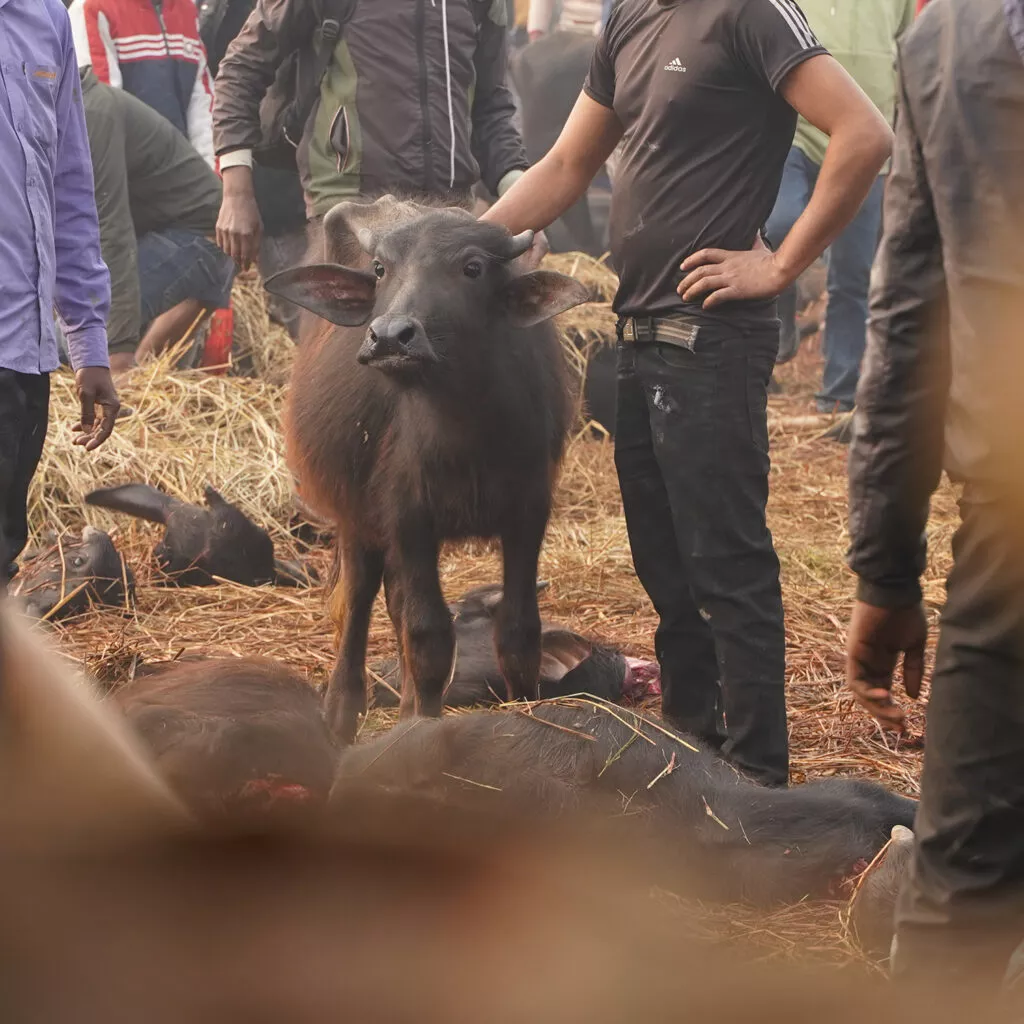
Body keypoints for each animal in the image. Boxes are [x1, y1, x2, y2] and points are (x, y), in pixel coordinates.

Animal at [268, 195, 589, 741]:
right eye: (381, 268)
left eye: (472, 267)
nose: (390, 337)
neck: (466, 435)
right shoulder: (408, 519)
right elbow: (429, 637)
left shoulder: (529, 514)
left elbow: (520, 633)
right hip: (356, 517)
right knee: (360, 602)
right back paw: (341, 714)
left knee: (396, 603)